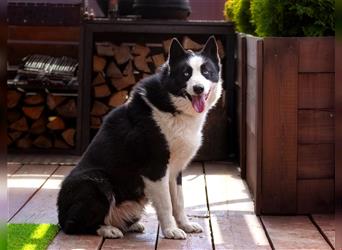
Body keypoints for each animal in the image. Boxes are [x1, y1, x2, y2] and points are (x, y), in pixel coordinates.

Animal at [57, 36, 223, 239]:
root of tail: (60, 215)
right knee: (73, 226)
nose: (198, 88)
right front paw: (171, 230)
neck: (171, 105)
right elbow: (166, 204)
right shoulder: (155, 169)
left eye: (206, 72)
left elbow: (179, 202)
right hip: (95, 180)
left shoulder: (174, 171)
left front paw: (185, 225)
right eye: (186, 74)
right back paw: (108, 229)